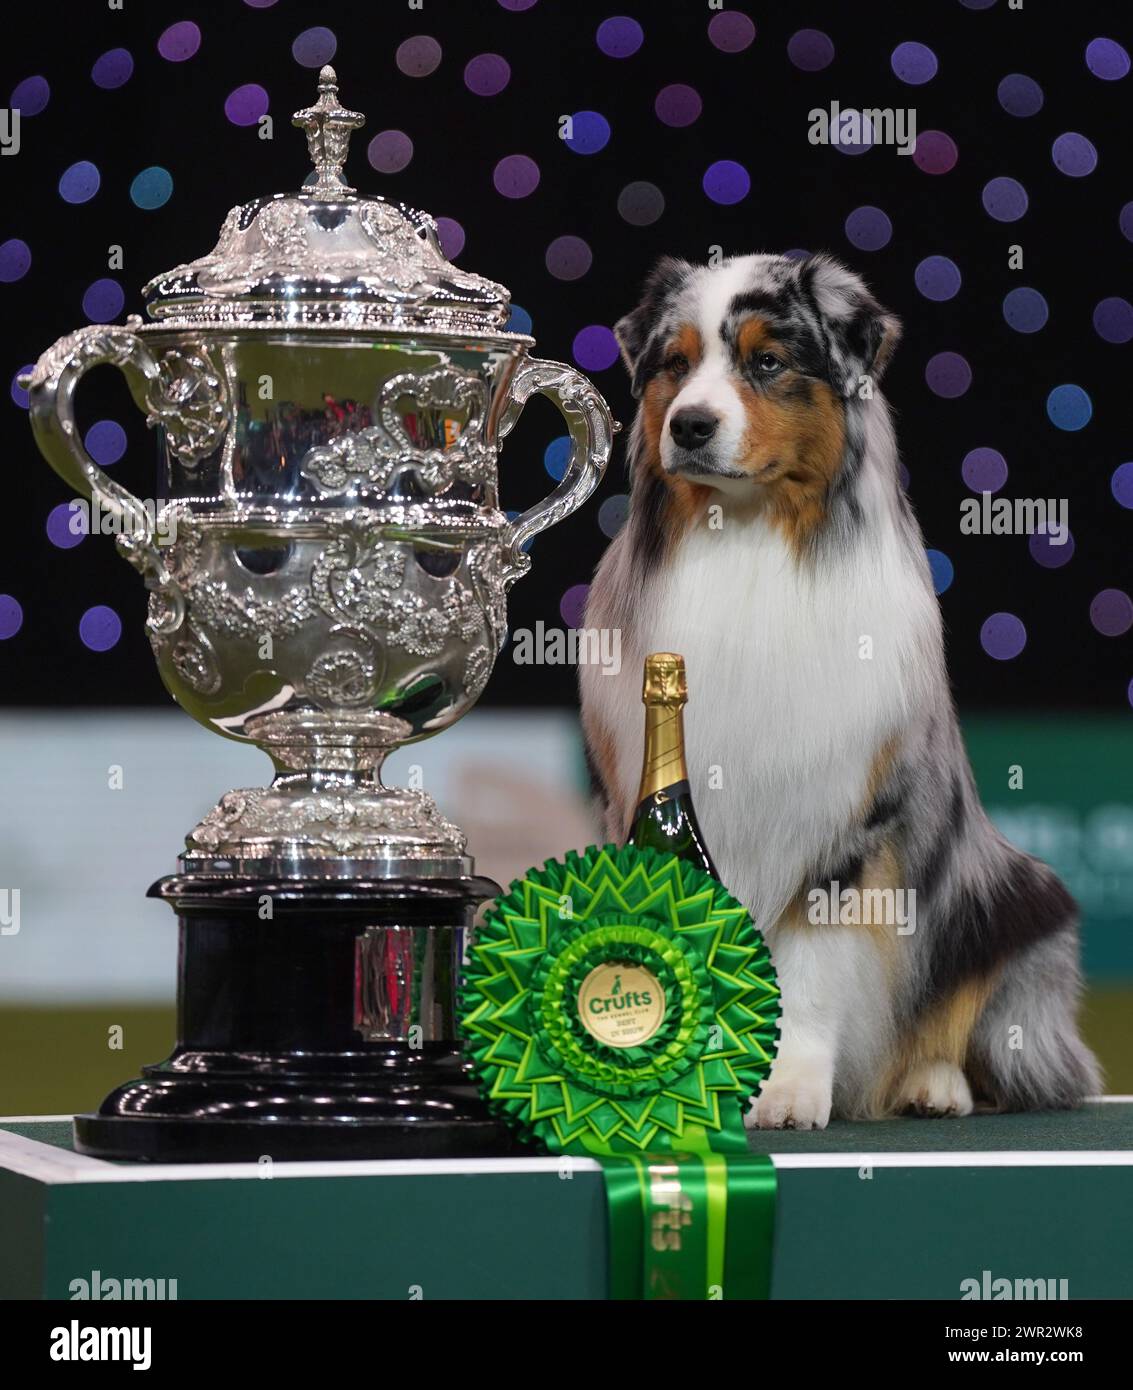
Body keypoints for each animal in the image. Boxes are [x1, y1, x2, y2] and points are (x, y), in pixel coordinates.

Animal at [581, 252, 1101, 1128]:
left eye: (766, 361)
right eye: (675, 364)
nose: (688, 425)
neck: (750, 533)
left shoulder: (854, 820)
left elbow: (812, 968)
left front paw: (787, 1087)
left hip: (1020, 902)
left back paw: (933, 1085)